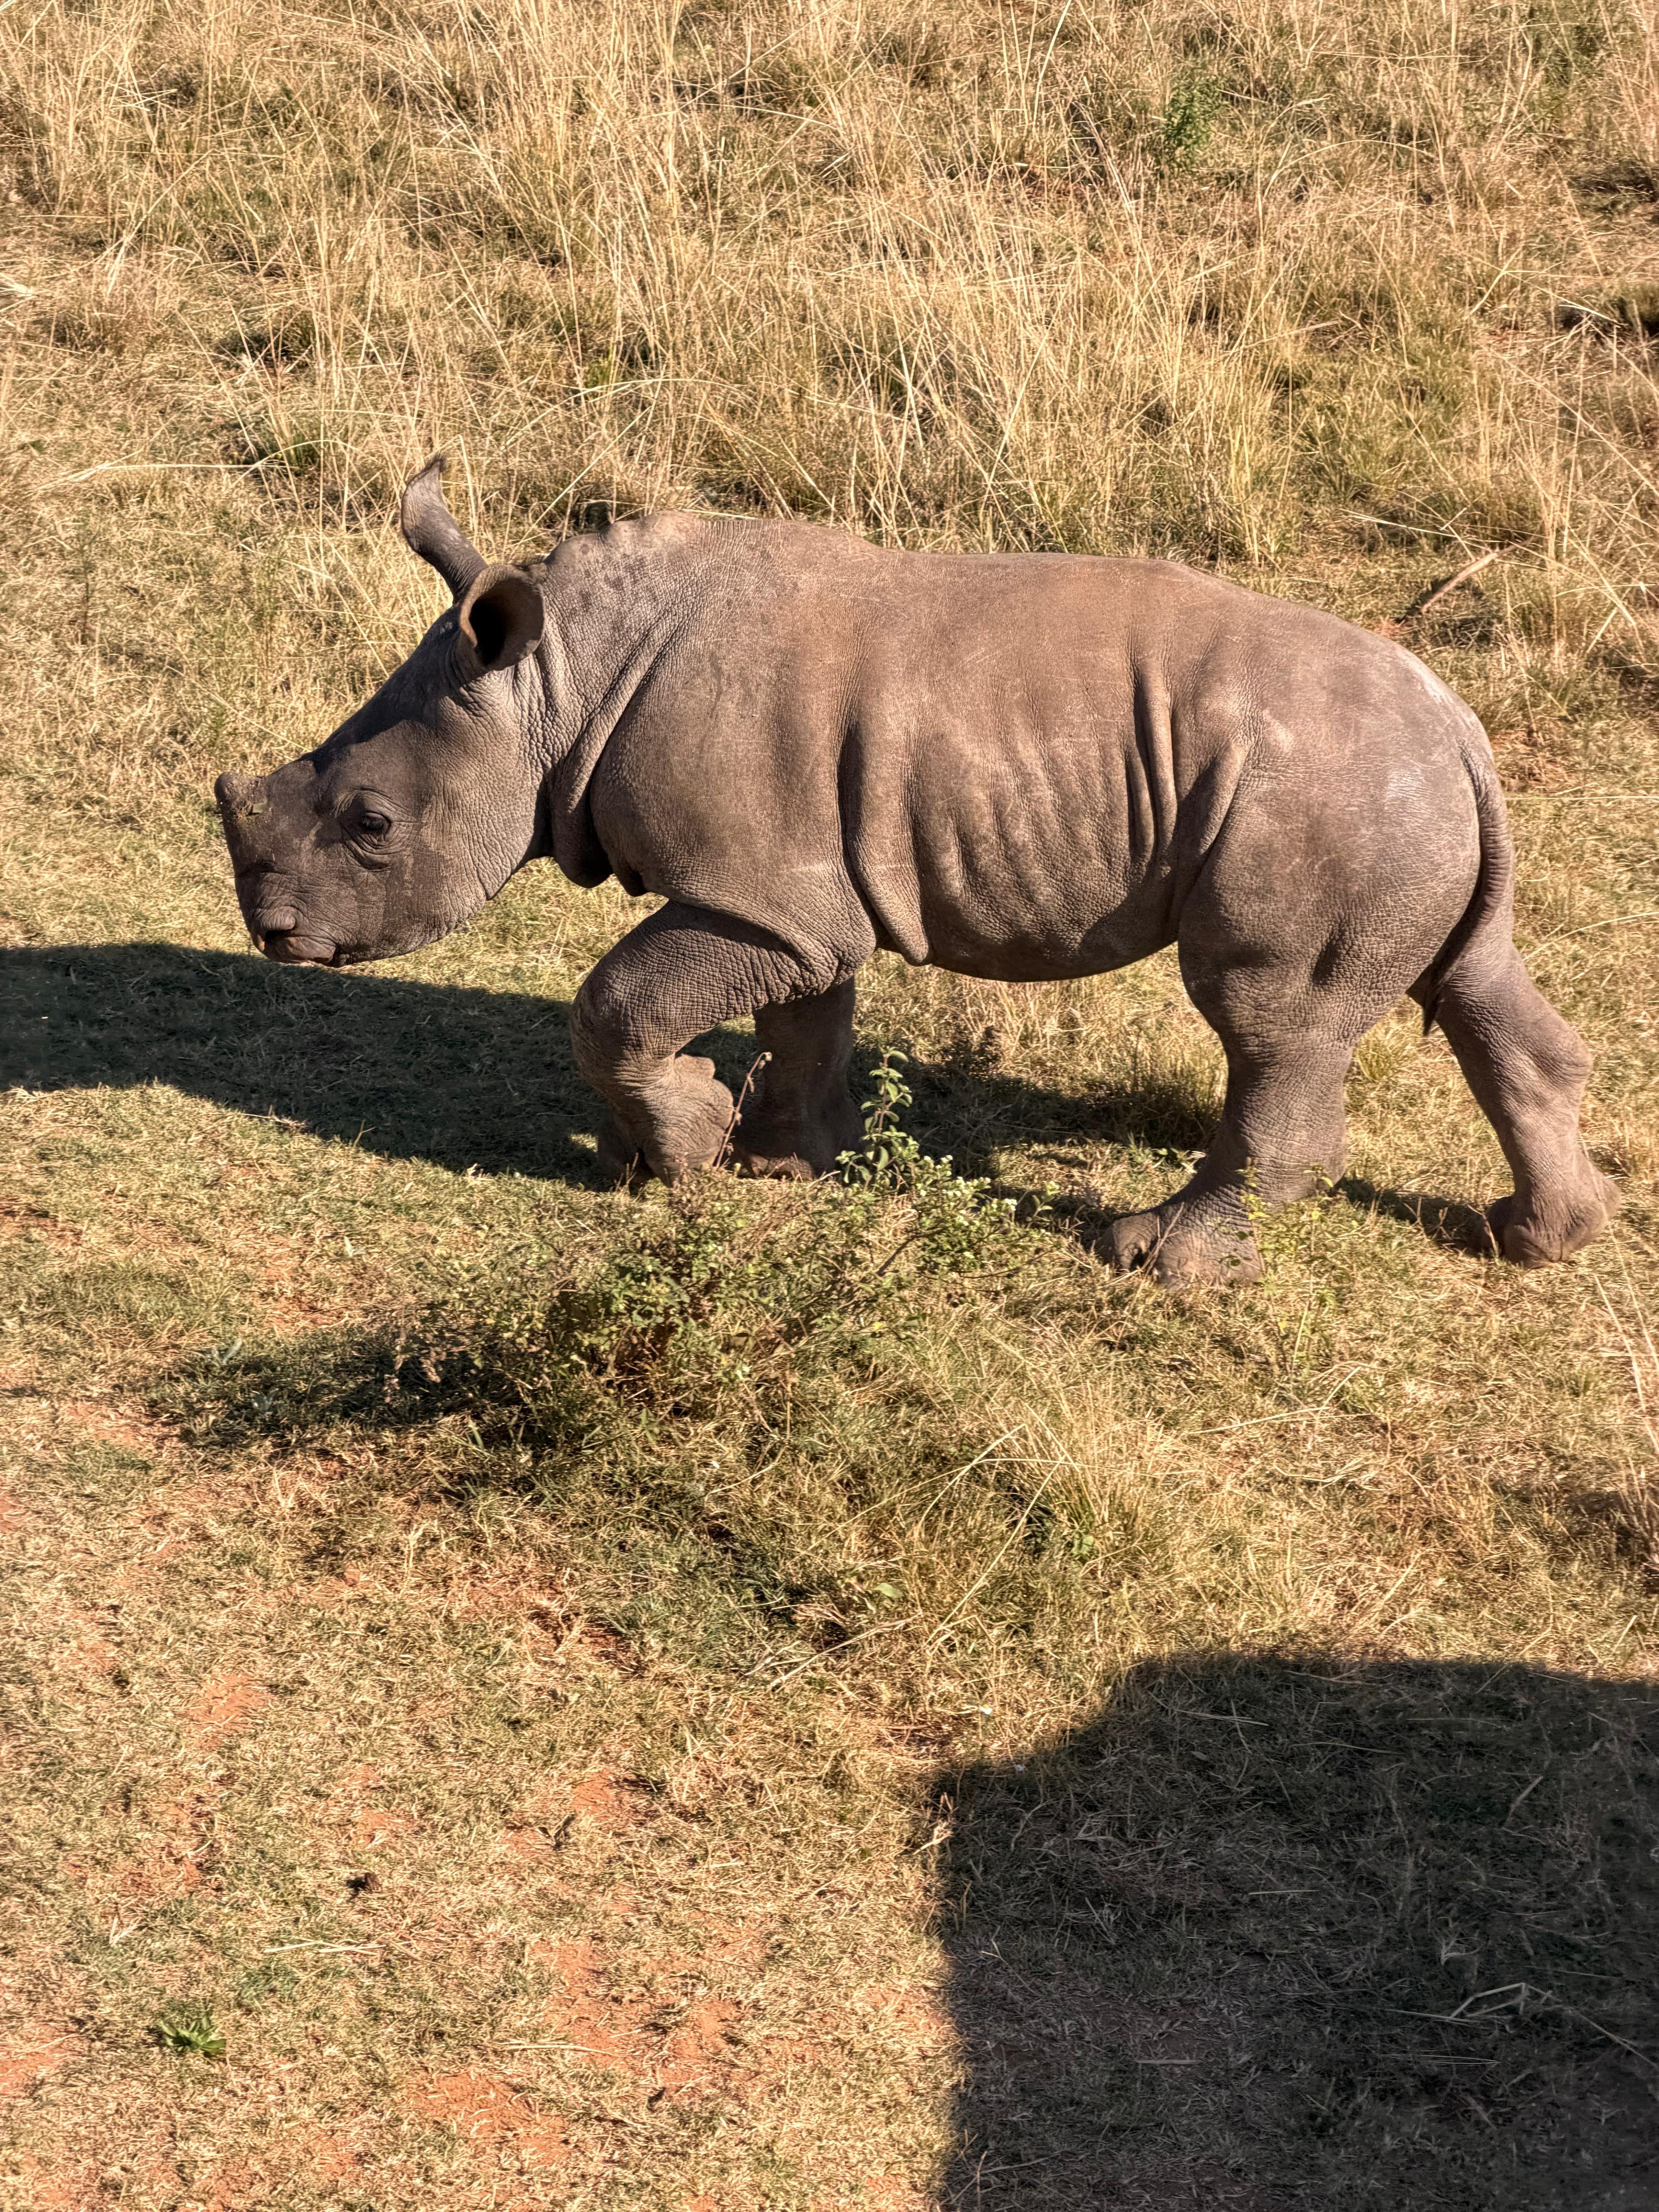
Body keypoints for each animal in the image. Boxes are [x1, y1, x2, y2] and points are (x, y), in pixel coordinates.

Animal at [213, 457, 1619, 1286]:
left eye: (370, 824)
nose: (271, 932)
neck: (558, 677)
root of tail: (1459, 726)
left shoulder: (759, 893)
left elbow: (615, 1003)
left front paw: (686, 1154)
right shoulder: (790, 893)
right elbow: (808, 1014)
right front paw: (784, 1161)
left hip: (1320, 798)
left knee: (1270, 1019)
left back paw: (1154, 1259)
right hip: (1401, 800)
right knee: (1471, 983)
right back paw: (1529, 1237)